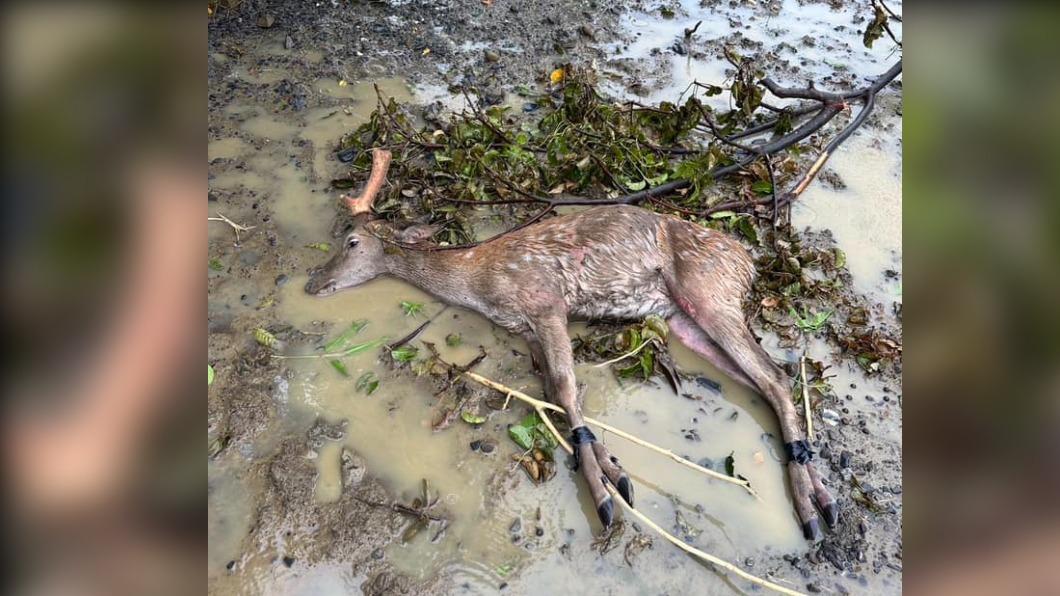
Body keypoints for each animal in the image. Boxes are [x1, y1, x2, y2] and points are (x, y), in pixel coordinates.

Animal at [305, 148, 838, 540]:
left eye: (352, 241)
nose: (312, 283)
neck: (477, 281)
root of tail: (748, 264)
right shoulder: (526, 329)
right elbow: (552, 389)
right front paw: (614, 470)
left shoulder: (545, 302)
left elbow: (564, 386)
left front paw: (602, 495)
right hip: (687, 323)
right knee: (771, 379)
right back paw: (815, 489)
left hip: (711, 294)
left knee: (774, 375)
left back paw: (815, 508)